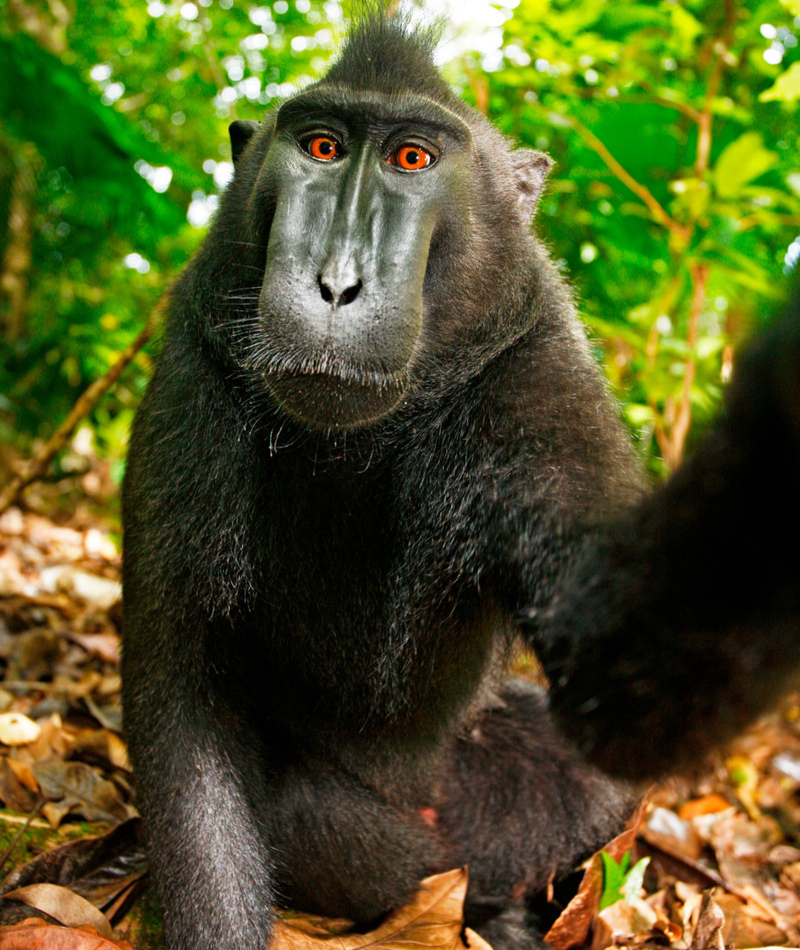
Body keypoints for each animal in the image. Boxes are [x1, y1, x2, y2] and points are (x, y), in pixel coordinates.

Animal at [122, 9, 800, 950]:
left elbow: (624, 676)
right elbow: (183, 700)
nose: (337, 284)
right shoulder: (198, 367)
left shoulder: (535, 370)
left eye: (412, 159)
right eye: (323, 147)